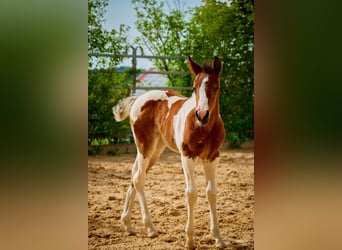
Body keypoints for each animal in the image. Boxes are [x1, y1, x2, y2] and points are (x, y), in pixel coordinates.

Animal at [113, 56, 227, 248]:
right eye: (194, 87)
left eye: (216, 87)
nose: (202, 114)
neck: (203, 128)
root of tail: (139, 98)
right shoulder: (186, 156)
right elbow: (191, 193)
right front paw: (190, 239)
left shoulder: (213, 157)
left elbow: (211, 193)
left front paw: (218, 237)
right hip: (145, 146)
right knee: (139, 178)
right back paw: (150, 228)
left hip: (155, 150)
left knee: (134, 175)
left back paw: (127, 224)